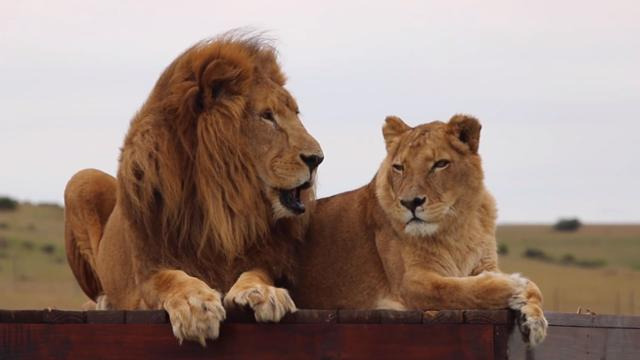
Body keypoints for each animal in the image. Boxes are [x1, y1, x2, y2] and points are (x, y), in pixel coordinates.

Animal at [64, 35, 322, 344]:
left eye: (295, 114)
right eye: (266, 116)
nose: (317, 158)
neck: (220, 203)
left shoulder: (265, 255)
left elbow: (258, 272)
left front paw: (264, 293)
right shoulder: (146, 270)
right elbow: (172, 277)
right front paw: (196, 307)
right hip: (81, 180)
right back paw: (104, 302)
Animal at [296, 115, 552, 346]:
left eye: (440, 164)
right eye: (399, 167)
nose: (411, 203)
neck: (456, 225)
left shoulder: (486, 263)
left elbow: (534, 288)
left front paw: (535, 319)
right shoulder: (410, 283)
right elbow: (454, 289)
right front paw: (513, 286)